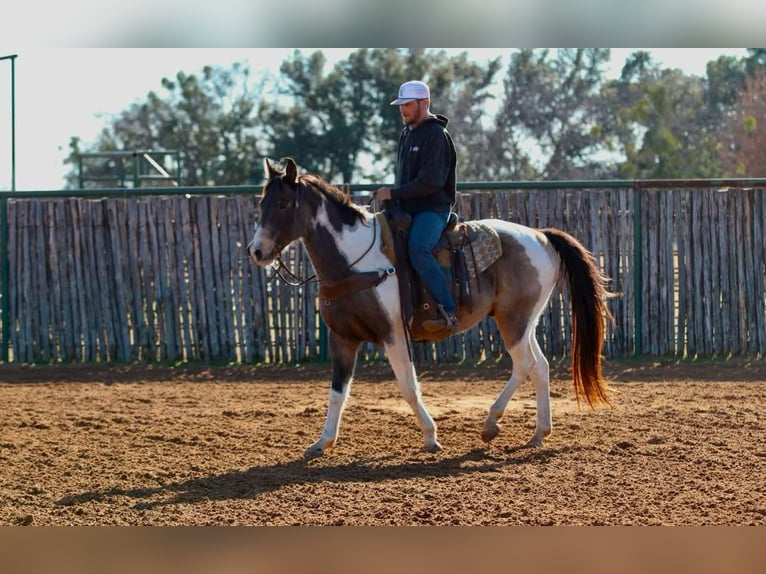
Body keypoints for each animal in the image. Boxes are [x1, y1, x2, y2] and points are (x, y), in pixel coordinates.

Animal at [248, 157, 613, 460]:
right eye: (261, 203)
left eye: (283, 203)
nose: (256, 251)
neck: (354, 260)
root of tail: (541, 236)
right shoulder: (343, 339)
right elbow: (338, 392)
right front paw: (322, 442)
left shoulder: (393, 334)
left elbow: (408, 387)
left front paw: (430, 436)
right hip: (524, 322)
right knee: (540, 367)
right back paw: (539, 433)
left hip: (513, 321)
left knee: (524, 365)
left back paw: (490, 423)